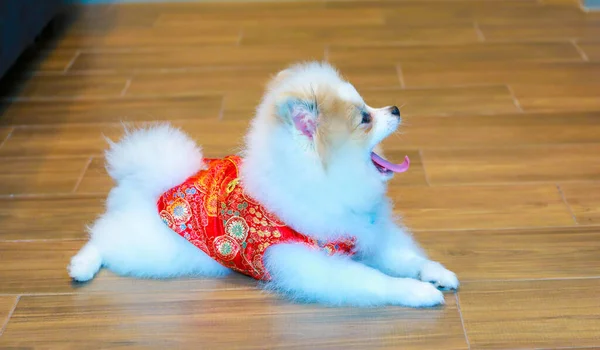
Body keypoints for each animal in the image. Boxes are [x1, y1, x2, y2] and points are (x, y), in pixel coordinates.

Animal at [68, 61, 458, 308]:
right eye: (365, 118)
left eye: (369, 107)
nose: (394, 109)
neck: (325, 182)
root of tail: (145, 179)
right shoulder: (316, 264)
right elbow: (376, 281)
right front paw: (419, 292)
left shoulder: (364, 234)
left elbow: (407, 258)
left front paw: (437, 273)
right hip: (153, 250)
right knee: (102, 238)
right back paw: (81, 266)